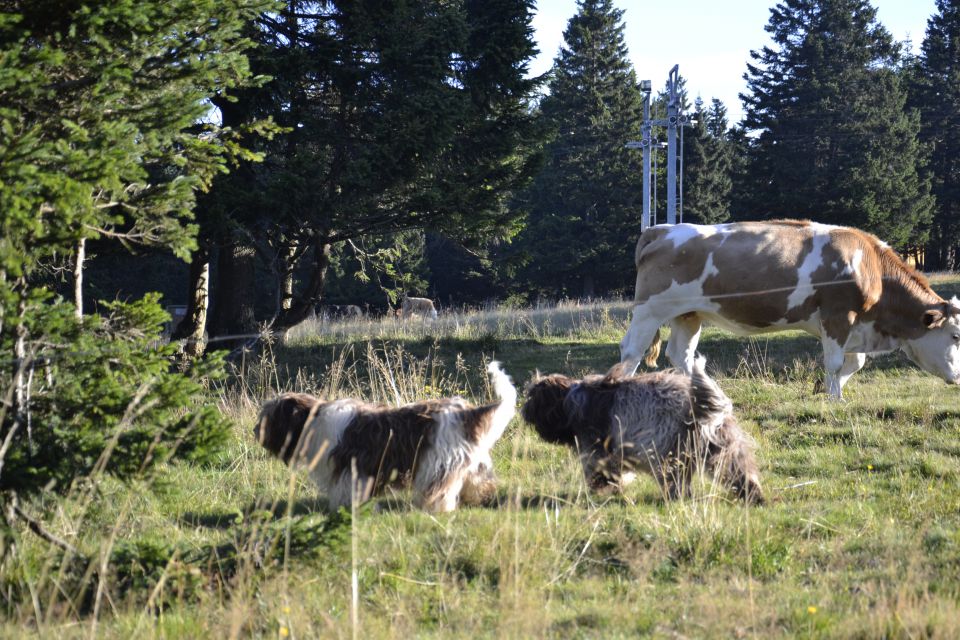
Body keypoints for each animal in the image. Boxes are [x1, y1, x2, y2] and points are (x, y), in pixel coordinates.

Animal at [251, 362, 512, 512]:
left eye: (269, 417)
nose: (255, 431)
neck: (312, 421)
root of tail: (466, 411)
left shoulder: (352, 468)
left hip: (437, 462)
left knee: (440, 488)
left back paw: (435, 508)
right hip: (469, 460)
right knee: (479, 479)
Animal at [520, 360, 760, 504]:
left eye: (532, 399)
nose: (523, 411)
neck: (570, 403)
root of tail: (698, 405)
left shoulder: (597, 447)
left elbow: (601, 469)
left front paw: (603, 486)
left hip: (669, 452)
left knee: (676, 480)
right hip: (721, 445)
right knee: (738, 471)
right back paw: (753, 496)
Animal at [620, 222, 960, 398]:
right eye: (956, 336)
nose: (958, 377)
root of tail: (662, 229)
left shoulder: (857, 325)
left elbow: (856, 363)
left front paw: (828, 391)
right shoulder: (837, 316)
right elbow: (836, 363)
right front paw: (834, 399)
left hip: (688, 315)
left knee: (681, 355)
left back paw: (710, 394)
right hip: (649, 310)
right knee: (632, 352)